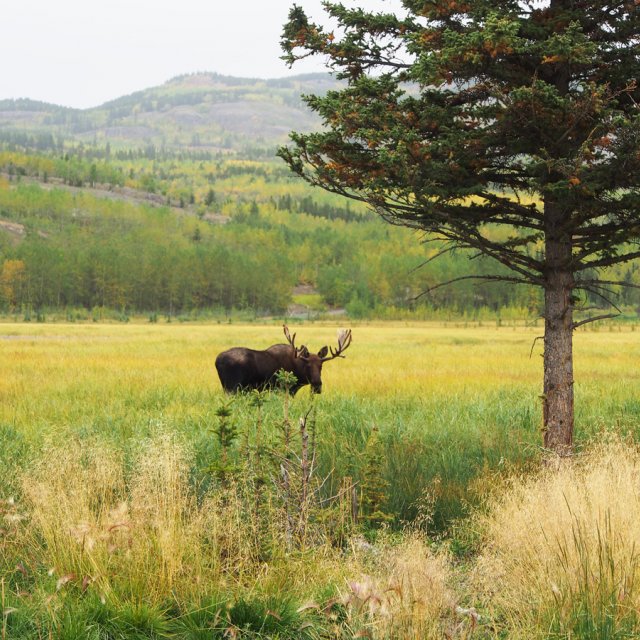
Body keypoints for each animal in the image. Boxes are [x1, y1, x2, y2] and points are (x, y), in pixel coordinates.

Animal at [218, 324, 352, 396]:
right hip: (233, 387)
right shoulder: (280, 389)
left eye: (321, 366)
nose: (317, 385)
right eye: (307, 365)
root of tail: (217, 361)